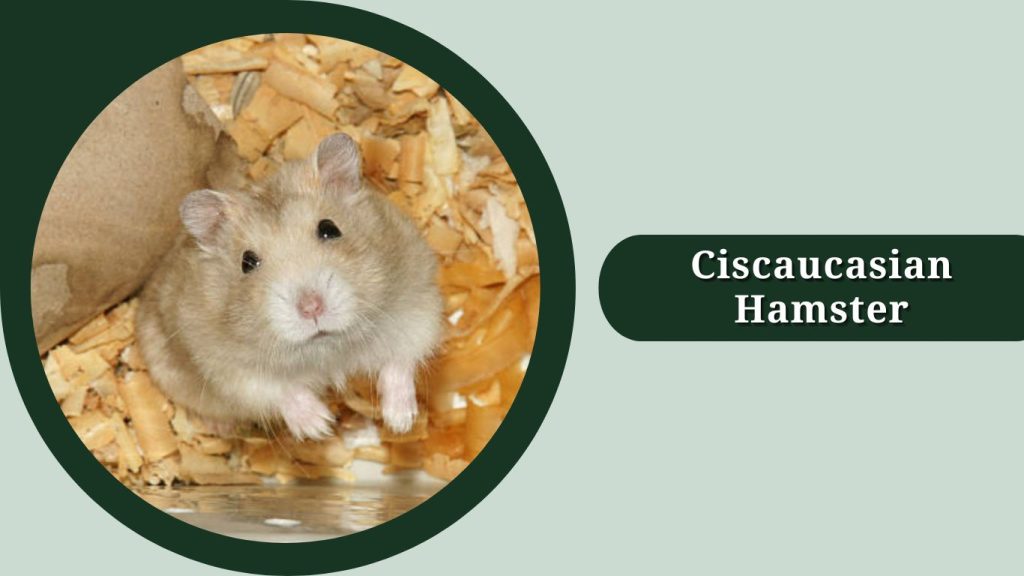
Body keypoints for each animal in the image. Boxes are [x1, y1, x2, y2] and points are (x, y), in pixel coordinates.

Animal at [135, 133, 443, 439]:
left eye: (329, 229)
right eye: (247, 262)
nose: (311, 308)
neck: (327, 351)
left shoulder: (417, 303)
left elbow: (400, 361)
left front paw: (400, 422)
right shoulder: (228, 368)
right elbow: (280, 389)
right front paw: (320, 427)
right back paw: (221, 428)